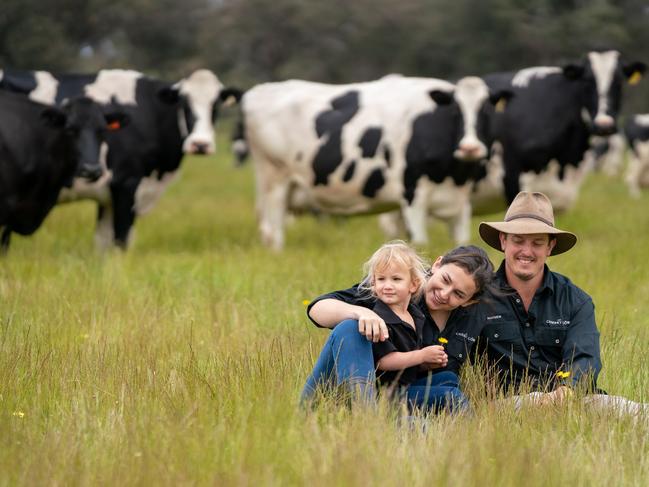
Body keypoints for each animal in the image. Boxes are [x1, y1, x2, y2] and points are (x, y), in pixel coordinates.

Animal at [240, 75, 508, 252]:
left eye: (487, 112)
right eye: (455, 112)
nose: (470, 148)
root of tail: (260, 90)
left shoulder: (460, 202)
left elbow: (462, 242)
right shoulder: (412, 195)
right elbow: (420, 243)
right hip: (274, 181)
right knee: (274, 232)